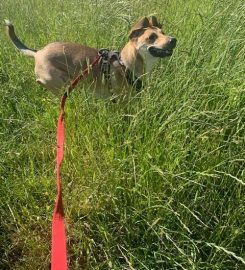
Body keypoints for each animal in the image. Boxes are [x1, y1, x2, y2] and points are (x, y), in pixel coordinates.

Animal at [4, 16, 177, 98]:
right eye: (151, 37)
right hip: (57, 80)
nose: (173, 40)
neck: (125, 64)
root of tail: (38, 52)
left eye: (163, 33)